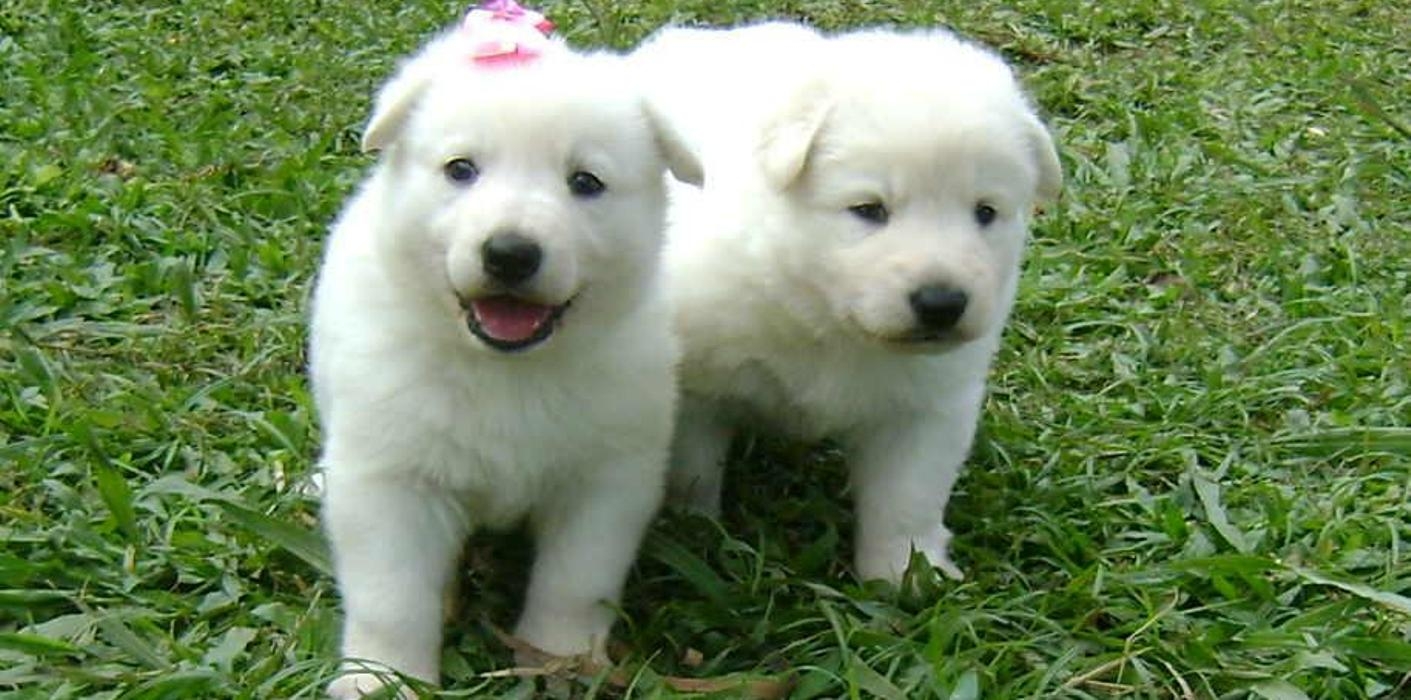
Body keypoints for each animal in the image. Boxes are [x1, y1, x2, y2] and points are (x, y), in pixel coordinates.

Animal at [313, 4, 699, 694]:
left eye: (585, 182)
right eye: (461, 169)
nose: (510, 253)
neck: (506, 369)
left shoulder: (606, 477)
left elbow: (576, 581)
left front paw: (559, 660)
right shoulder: (389, 481)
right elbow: (392, 598)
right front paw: (382, 679)